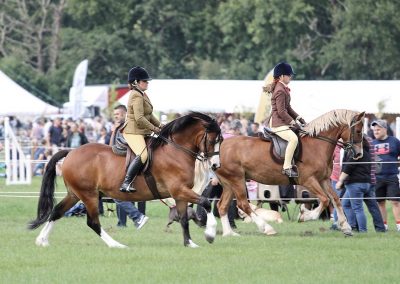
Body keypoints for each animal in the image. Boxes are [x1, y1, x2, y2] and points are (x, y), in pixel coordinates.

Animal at [28, 112, 222, 247]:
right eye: (213, 140)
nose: (215, 165)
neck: (175, 151)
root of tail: (71, 152)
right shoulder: (179, 190)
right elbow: (205, 202)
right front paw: (210, 234)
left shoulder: (180, 194)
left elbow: (183, 218)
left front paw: (190, 243)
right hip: (89, 195)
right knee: (93, 222)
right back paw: (116, 245)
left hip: (75, 194)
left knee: (57, 212)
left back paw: (42, 240)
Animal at [212, 110, 366, 236]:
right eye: (358, 131)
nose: (359, 154)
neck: (317, 146)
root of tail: (220, 147)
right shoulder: (308, 180)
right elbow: (324, 199)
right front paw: (305, 216)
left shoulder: (324, 180)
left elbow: (335, 199)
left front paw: (346, 227)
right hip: (237, 180)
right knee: (243, 204)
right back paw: (267, 228)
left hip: (229, 183)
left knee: (222, 206)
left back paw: (229, 233)